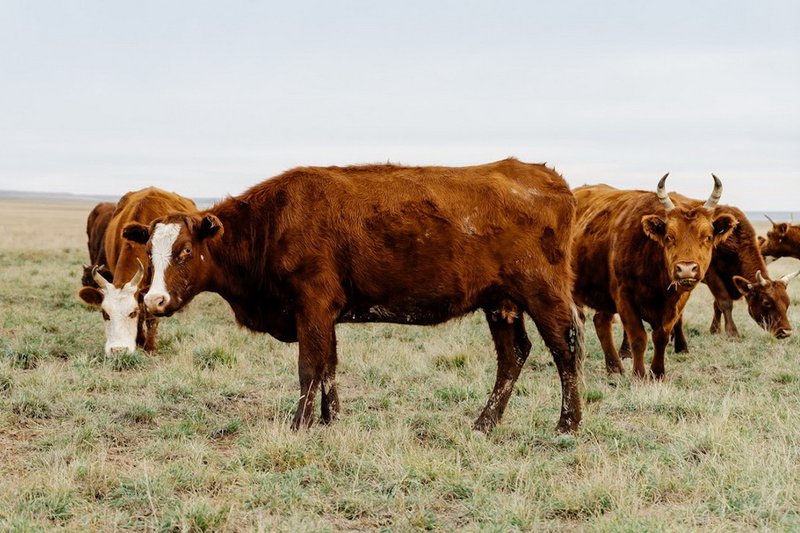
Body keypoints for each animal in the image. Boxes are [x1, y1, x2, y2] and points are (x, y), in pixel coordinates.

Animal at [77, 186, 197, 354]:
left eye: (132, 312)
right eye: (105, 313)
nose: (118, 350)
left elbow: (150, 315)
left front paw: (150, 347)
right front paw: (139, 340)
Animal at [126, 158, 588, 432]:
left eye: (186, 251)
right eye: (149, 251)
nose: (153, 301)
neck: (271, 224)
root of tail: (546, 175)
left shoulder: (312, 306)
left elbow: (309, 367)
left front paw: (299, 425)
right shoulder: (324, 313)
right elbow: (329, 366)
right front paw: (330, 420)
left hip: (542, 292)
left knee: (565, 349)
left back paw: (567, 424)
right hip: (501, 302)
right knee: (513, 355)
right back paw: (484, 423)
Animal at [572, 175, 736, 378]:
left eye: (707, 237)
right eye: (669, 237)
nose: (686, 269)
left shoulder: (676, 303)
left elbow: (661, 336)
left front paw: (658, 373)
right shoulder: (624, 298)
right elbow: (638, 338)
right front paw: (639, 374)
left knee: (601, 321)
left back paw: (615, 368)